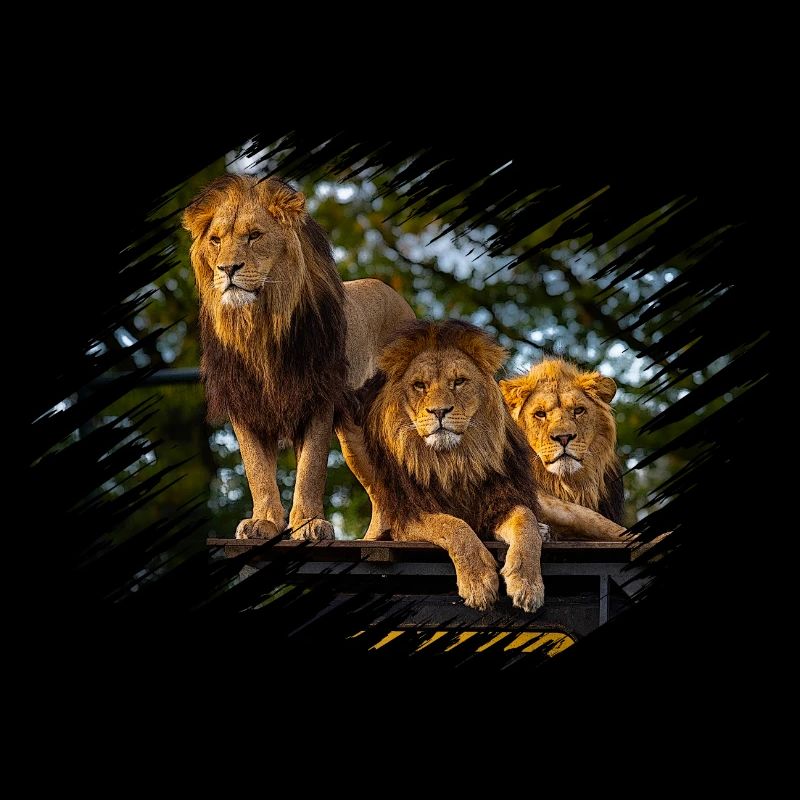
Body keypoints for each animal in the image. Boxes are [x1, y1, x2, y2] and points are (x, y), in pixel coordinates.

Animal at [182, 175, 414, 542]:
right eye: (215, 240)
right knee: (382, 491)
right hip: (355, 436)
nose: (227, 268)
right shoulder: (244, 404)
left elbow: (311, 468)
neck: (259, 326)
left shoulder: (317, 398)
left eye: (254, 235)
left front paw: (308, 524)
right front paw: (263, 522)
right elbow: (257, 471)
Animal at [357, 320, 544, 612]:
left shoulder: (499, 503)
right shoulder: (407, 516)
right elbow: (452, 525)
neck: (453, 463)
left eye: (458, 382)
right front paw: (478, 581)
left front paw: (527, 583)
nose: (439, 411)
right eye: (419, 385)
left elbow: (526, 521)